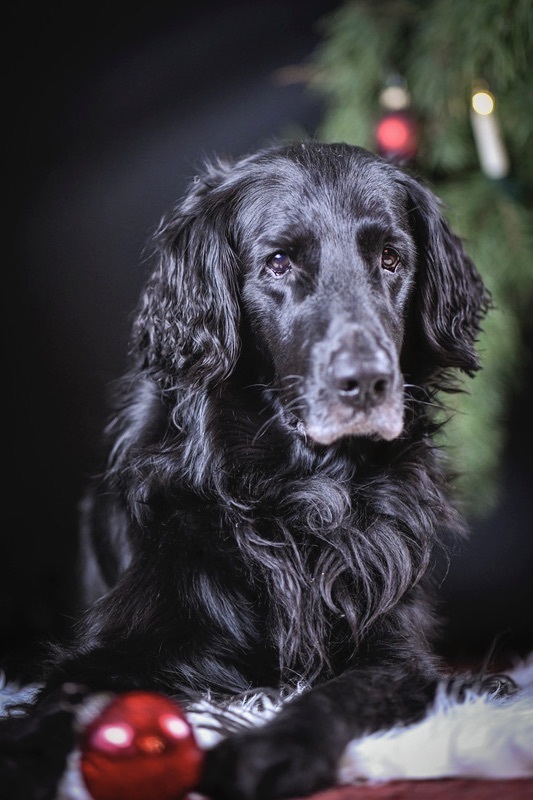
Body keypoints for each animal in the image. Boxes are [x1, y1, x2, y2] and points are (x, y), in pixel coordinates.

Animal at [14, 142, 502, 800]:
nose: (367, 383)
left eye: (391, 259)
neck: (301, 492)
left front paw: (272, 749)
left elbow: (340, 693)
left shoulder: (395, 652)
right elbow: (55, 704)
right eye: (277, 263)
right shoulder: (115, 647)